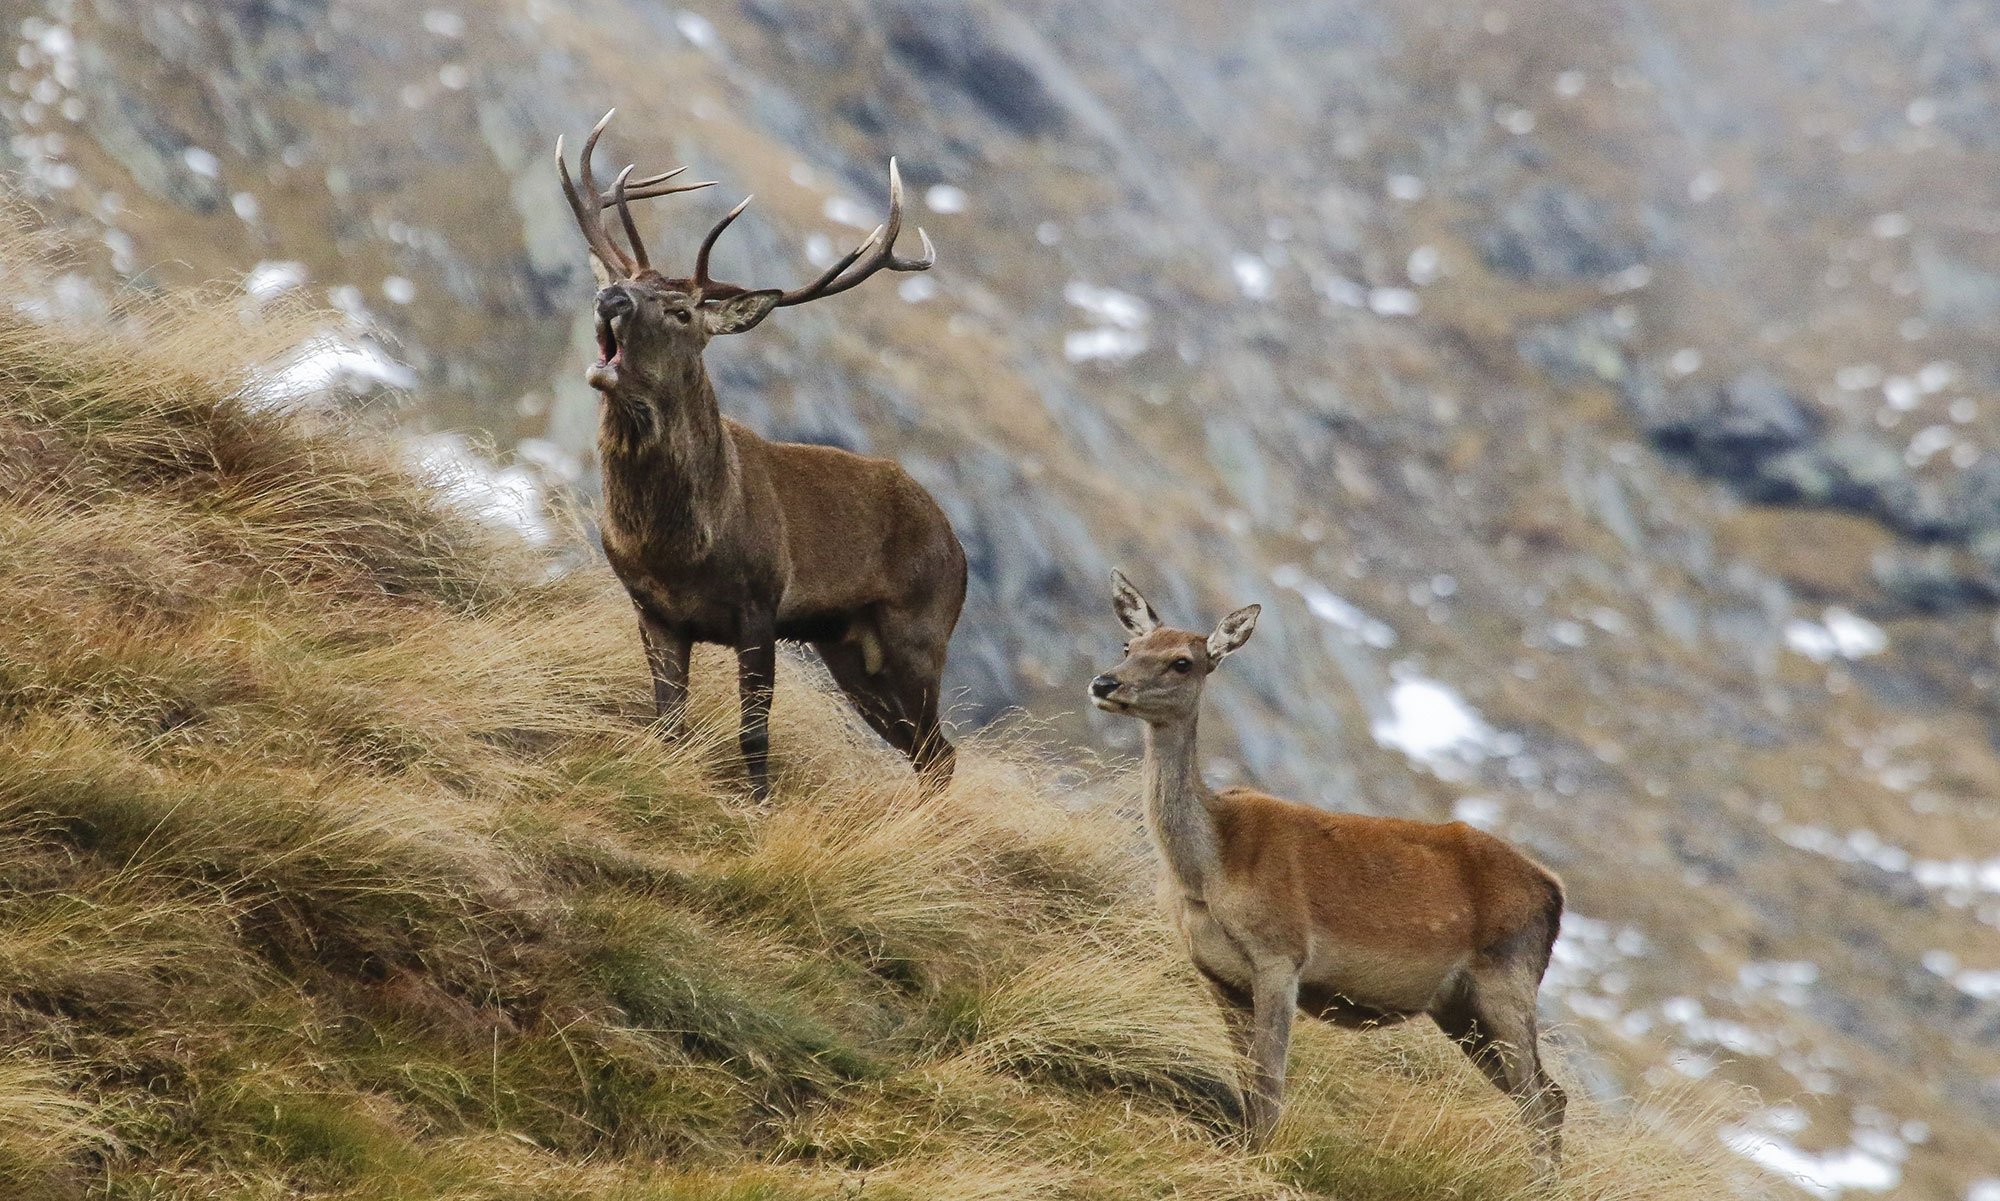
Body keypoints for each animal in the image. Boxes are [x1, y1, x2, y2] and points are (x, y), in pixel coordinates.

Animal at [556, 115, 968, 796]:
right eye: (625, 284)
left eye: (680, 310)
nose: (611, 298)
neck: (679, 545)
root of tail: (961, 550)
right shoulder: (652, 609)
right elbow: (669, 723)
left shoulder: (759, 606)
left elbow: (753, 733)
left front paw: (757, 804)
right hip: (849, 650)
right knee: (922, 749)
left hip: (919, 632)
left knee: (940, 754)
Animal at [1088, 572, 1568, 1160]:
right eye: (1127, 646)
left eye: (1183, 661)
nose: (1105, 683)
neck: (1206, 870)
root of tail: (1554, 891)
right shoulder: (1216, 973)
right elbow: (1247, 1082)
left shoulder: (1281, 954)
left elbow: (1270, 1085)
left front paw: (1262, 1159)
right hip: (1459, 1008)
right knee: (1546, 1097)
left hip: (1509, 982)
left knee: (1541, 1103)